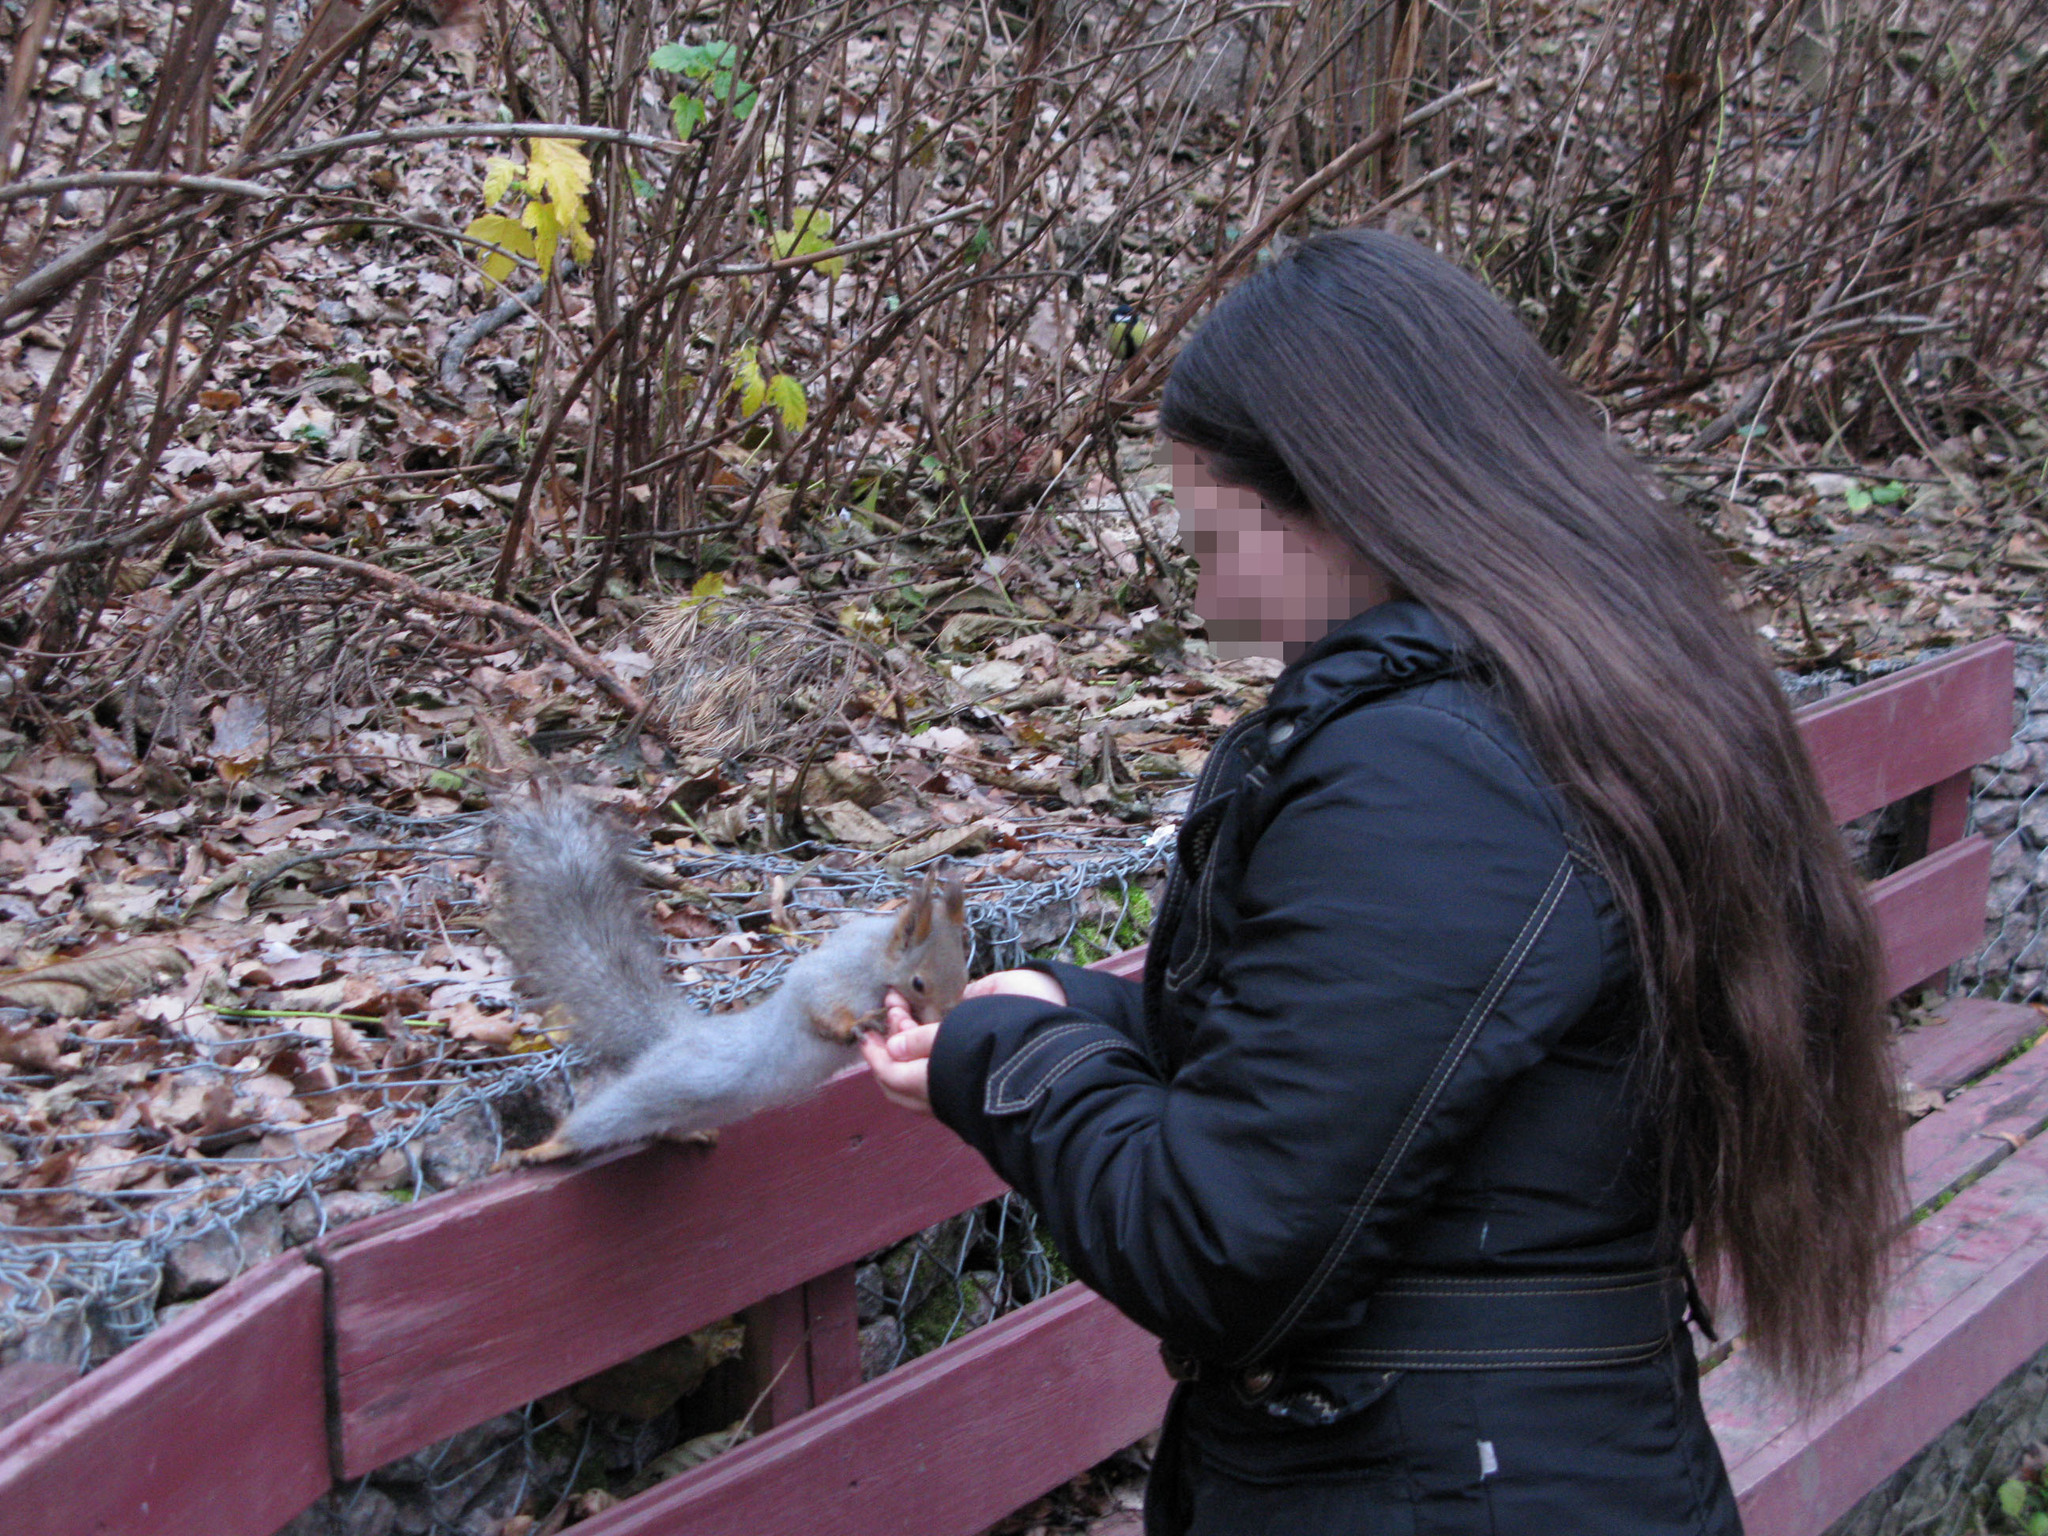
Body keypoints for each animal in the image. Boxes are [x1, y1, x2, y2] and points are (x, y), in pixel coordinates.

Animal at [487, 786, 966, 1163]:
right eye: (919, 983)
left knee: (660, 1126)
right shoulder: (834, 974)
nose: (946, 1018)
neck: (878, 960)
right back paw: (544, 1149)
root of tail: (678, 1036)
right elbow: (820, 1007)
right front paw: (858, 1023)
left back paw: (687, 1132)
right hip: (666, 1083)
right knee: (605, 1119)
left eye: (963, 977)